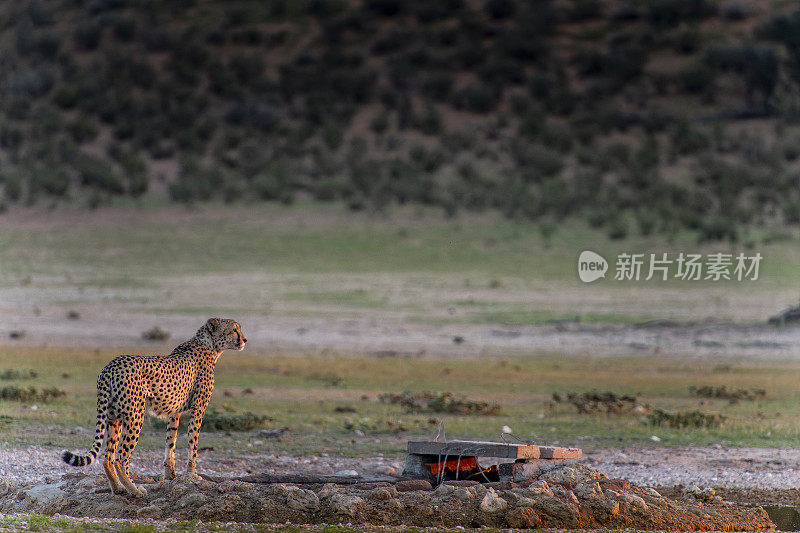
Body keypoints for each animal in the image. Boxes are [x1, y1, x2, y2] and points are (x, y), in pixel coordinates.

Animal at [62, 318, 245, 496]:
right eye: (234, 329)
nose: (244, 340)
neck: (209, 345)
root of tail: (111, 366)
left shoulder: (175, 412)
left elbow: (170, 442)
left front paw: (171, 476)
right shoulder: (199, 409)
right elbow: (193, 442)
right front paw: (192, 474)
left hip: (113, 417)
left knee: (108, 457)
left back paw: (118, 488)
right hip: (135, 415)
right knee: (120, 457)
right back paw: (134, 489)